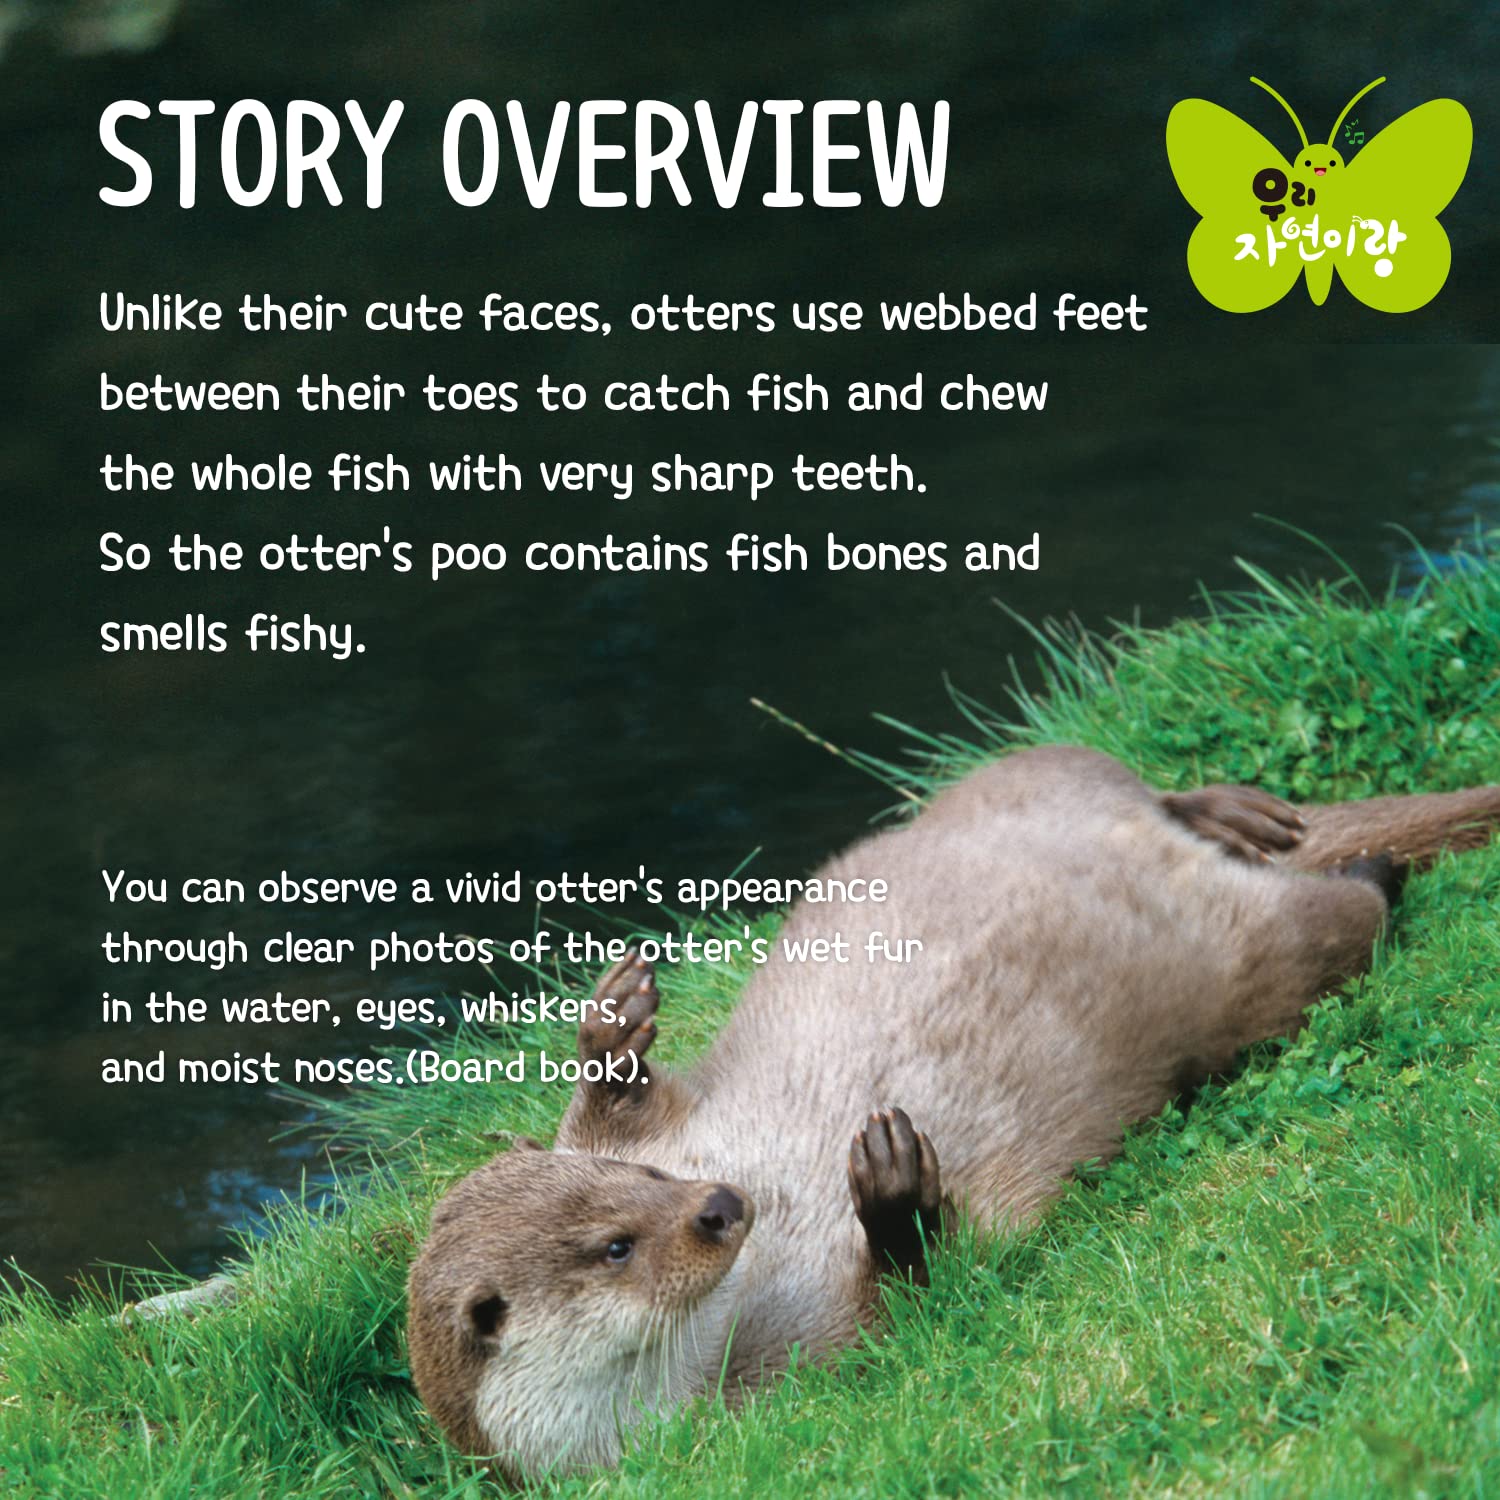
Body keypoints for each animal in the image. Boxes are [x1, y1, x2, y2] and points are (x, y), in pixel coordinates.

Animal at [407, 746, 1500, 1481]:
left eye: (645, 1180)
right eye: (616, 1248)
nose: (720, 1206)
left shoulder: (676, 1120)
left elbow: (621, 1101)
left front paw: (615, 1020)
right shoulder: (796, 1384)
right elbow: (923, 1307)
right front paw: (894, 1192)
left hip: (1009, 778)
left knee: (1110, 771)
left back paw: (1228, 811)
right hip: (1245, 972)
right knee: (1327, 928)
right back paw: (1361, 872)